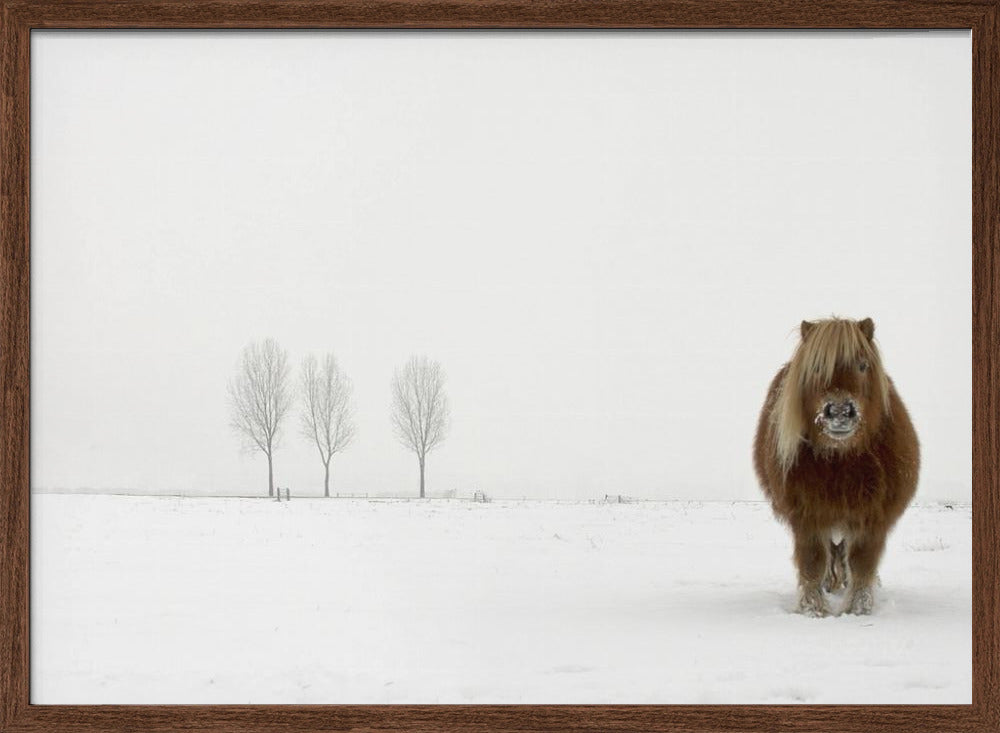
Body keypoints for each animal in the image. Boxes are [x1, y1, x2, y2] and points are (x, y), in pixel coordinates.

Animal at [753, 317, 919, 617]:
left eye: (863, 365)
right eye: (816, 367)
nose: (840, 412)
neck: (841, 460)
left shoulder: (872, 518)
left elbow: (862, 563)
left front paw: (858, 609)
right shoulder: (807, 517)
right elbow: (813, 563)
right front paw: (813, 609)